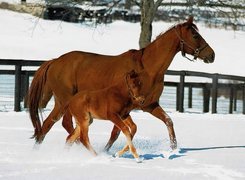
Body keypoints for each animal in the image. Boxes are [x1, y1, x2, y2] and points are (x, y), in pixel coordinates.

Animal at [27, 16, 214, 150]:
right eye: (195, 35)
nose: (211, 55)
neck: (147, 69)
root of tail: (54, 61)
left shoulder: (149, 105)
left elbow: (168, 121)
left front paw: (174, 149)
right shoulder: (122, 109)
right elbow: (117, 132)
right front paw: (106, 151)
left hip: (60, 103)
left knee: (46, 126)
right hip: (66, 101)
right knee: (66, 125)